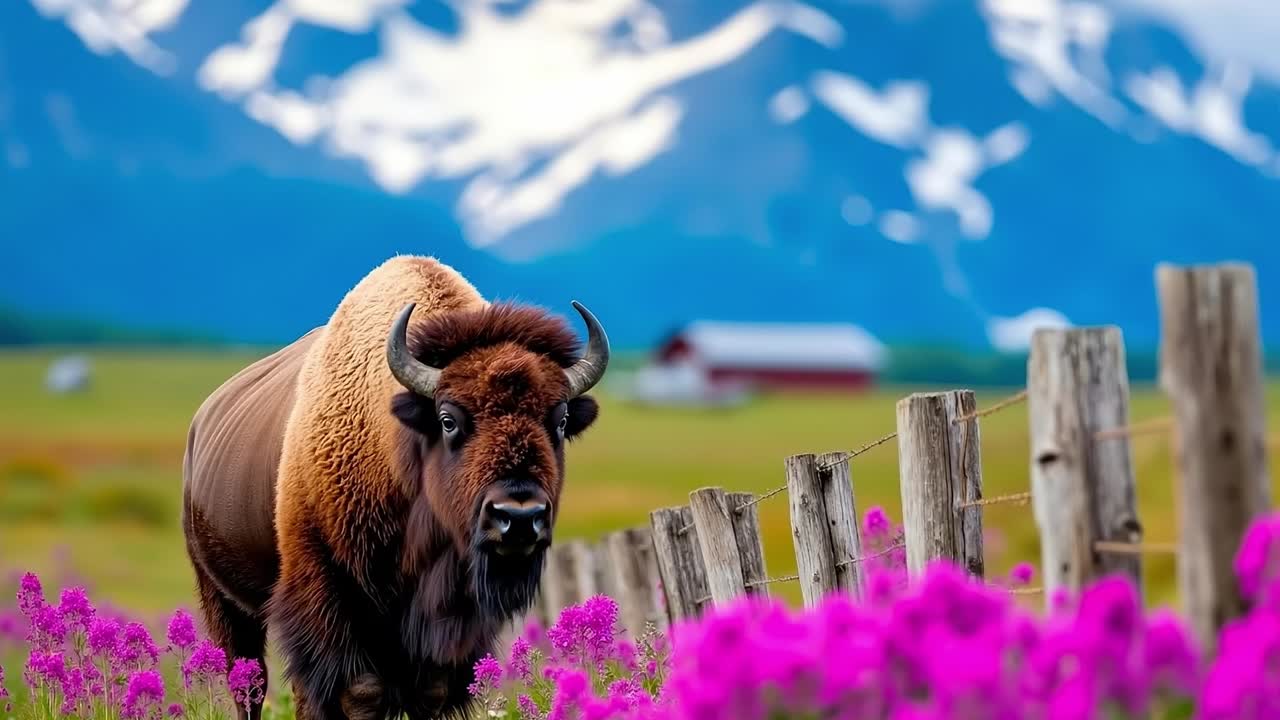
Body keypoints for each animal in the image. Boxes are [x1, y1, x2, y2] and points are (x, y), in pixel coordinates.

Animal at [181, 256, 608, 719]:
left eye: (560, 420)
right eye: (447, 419)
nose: (519, 517)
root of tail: (199, 424)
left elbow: (431, 690)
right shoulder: (325, 589)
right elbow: (360, 689)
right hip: (225, 601)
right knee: (252, 684)